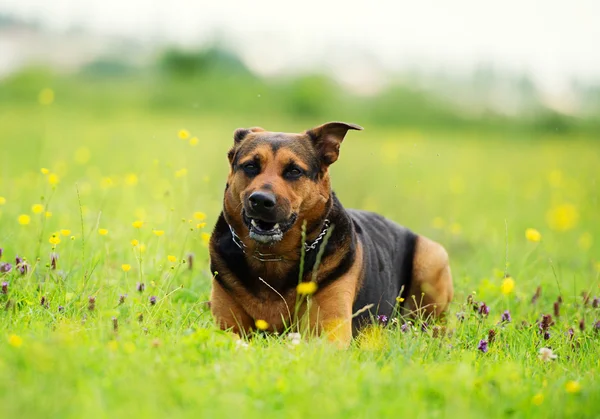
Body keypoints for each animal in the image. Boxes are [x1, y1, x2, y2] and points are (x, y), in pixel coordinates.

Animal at [209, 121, 452, 348]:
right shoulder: (224, 323)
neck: (272, 257)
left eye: (294, 171)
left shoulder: (330, 329)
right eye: (250, 166)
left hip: (432, 258)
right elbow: (228, 336)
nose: (260, 200)